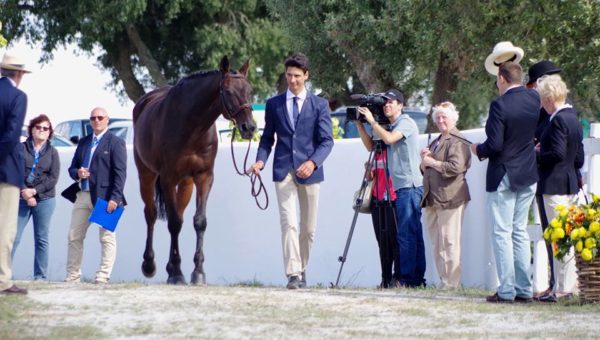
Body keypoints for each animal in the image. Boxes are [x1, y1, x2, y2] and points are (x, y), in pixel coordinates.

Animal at [132, 55, 256, 284]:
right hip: (146, 175)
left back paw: (170, 267)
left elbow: (199, 221)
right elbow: (173, 223)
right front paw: (177, 273)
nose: (250, 128)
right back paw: (150, 264)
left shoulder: (204, 177)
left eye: (250, 91)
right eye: (228, 92)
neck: (191, 126)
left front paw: (197, 271)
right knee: (151, 214)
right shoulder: (168, 178)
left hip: (186, 183)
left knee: (179, 215)